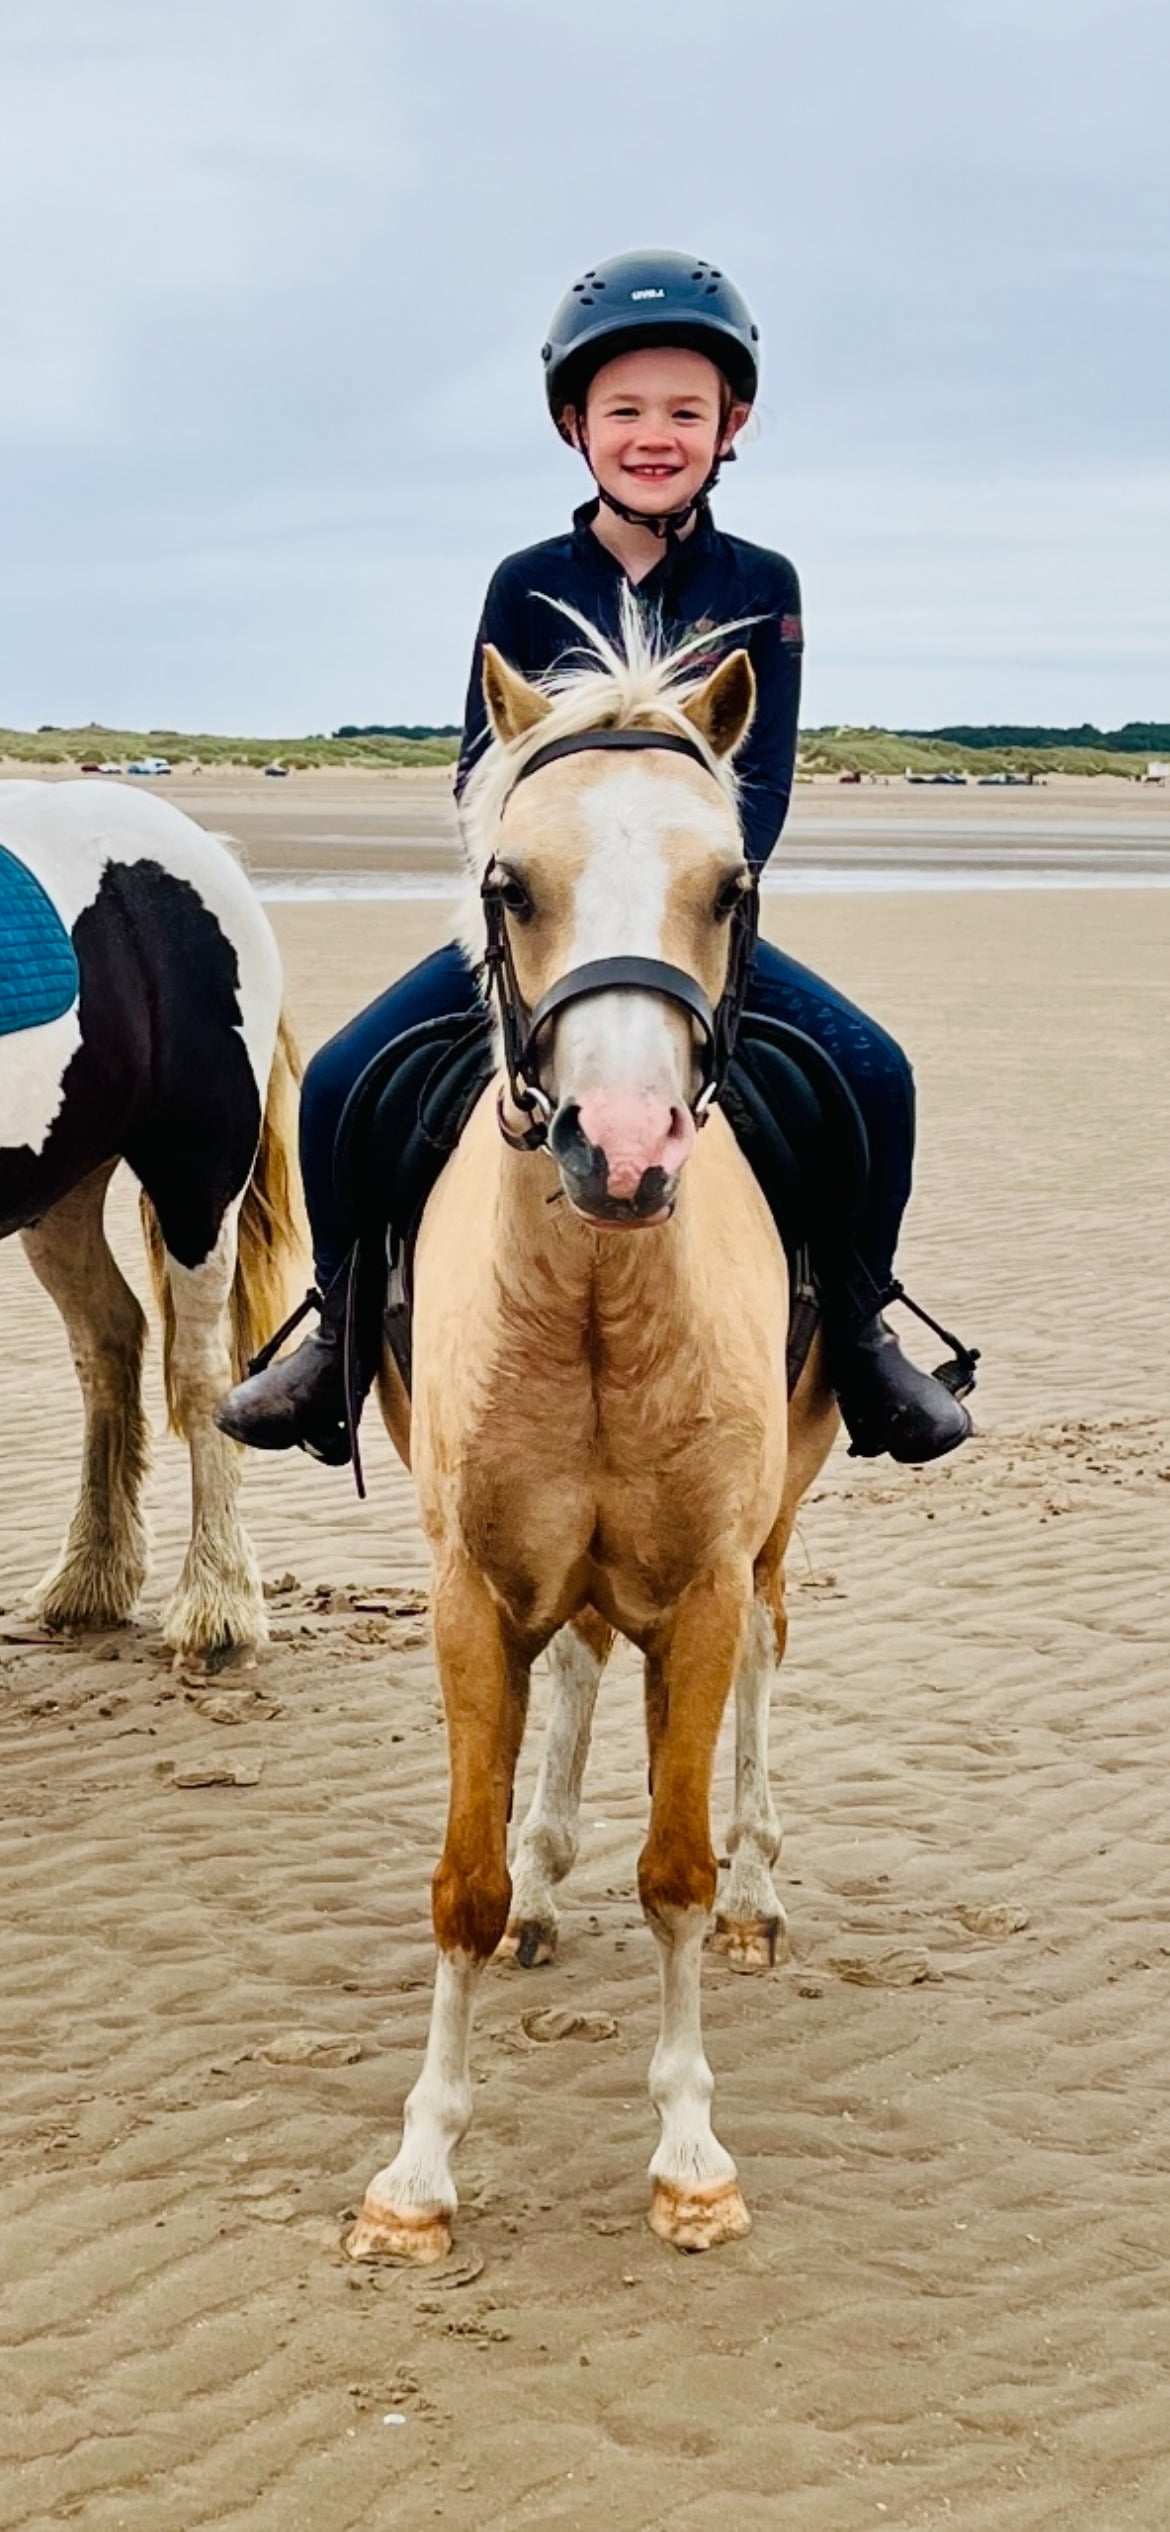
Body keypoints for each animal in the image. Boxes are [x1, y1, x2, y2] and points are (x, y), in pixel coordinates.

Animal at [0, 777, 300, 1661]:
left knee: (200, 1370)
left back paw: (217, 1601)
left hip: (197, 1182)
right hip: (59, 1187)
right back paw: (89, 1576)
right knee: (106, 1343)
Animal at [346, 604, 840, 2262]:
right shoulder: (469, 1590)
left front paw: (689, 2156)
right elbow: (464, 1881)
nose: (619, 1153)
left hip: (771, 1532)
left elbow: (672, 1868)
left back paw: (759, 1891)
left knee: (762, 1664)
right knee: (568, 1670)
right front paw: (418, 2174)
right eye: (510, 882)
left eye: (728, 886)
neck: (596, 1308)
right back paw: (555, 1884)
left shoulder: (694, 1588)